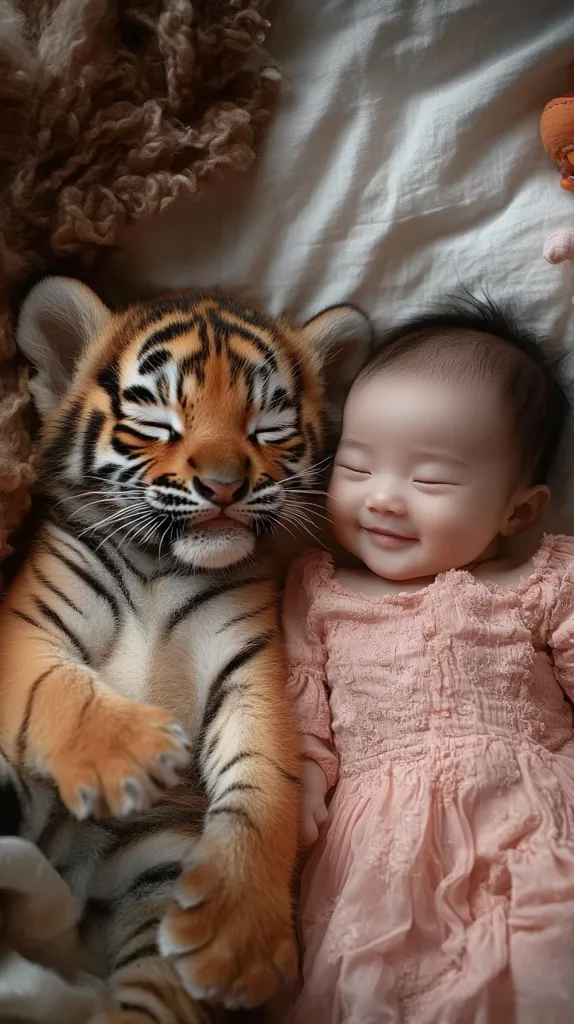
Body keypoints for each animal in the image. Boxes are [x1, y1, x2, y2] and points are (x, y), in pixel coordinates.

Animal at [0, 276, 372, 1024]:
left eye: (267, 425)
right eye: (157, 419)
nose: (226, 485)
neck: (160, 565)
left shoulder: (251, 668)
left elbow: (265, 785)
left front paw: (238, 937)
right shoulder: (26, 628)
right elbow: (57, 686)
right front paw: (136, 752)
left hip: (159, 872)